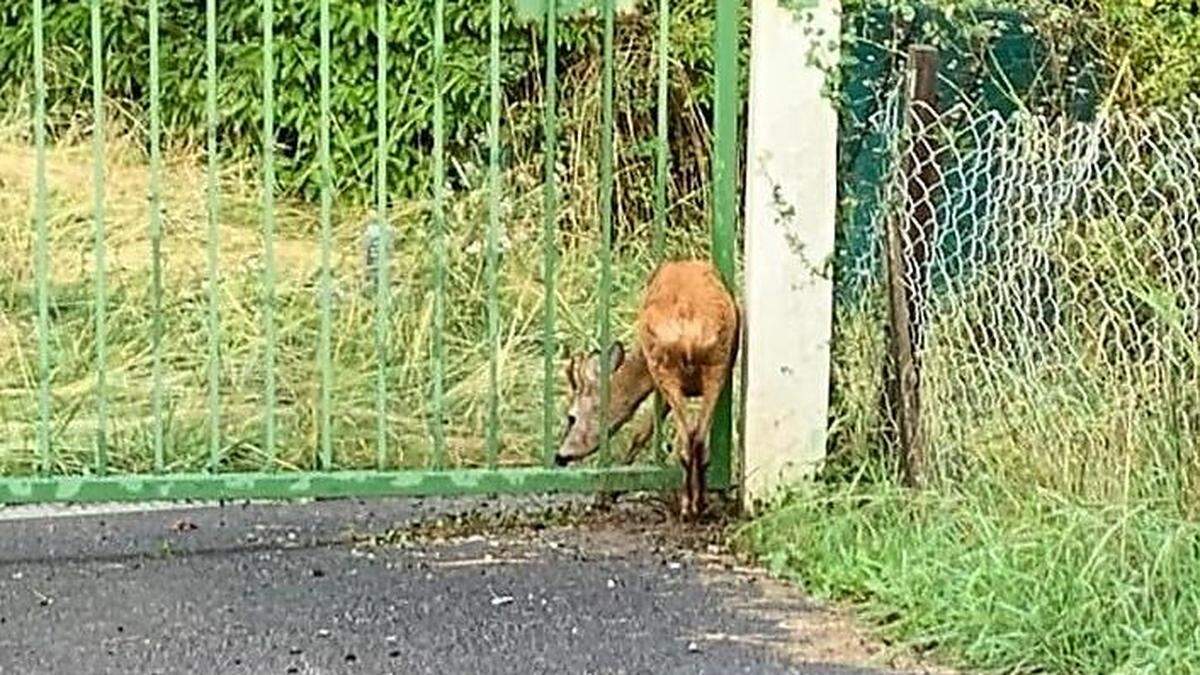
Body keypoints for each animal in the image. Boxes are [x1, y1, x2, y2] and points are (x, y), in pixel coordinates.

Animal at [554, 255, 739, 514]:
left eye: (571, 417)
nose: (560, 456)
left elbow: (641, 434)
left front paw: (606, 496)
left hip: (663, 365)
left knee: (685, 441)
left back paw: (687, 507)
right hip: (718, 363)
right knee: (699, 440)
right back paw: (700, 504)